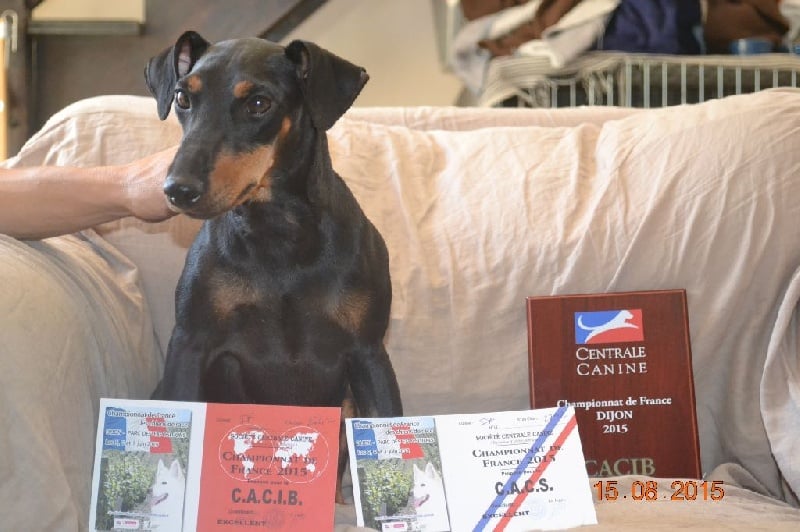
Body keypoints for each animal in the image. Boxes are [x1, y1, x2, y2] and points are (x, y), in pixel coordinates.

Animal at [144, 31, 403, 500]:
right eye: (183, 98)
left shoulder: (369, 352)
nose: (177, 190)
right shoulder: (190, 345)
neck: (279, 237)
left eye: (260, 103)